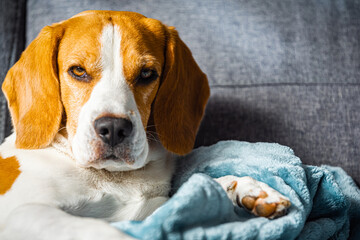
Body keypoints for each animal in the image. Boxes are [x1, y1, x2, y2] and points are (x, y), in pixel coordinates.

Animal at [0, 10, 290, 239]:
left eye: (147, 74)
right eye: (78, 71)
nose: (113, 129)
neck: (113, 179)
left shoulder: (150, 211)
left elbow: (200, 187)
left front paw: (248, 188)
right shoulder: (25, 213)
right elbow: (99, 230)